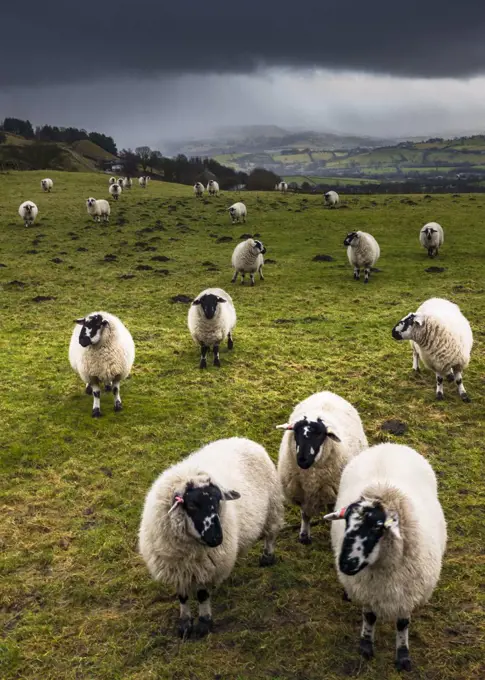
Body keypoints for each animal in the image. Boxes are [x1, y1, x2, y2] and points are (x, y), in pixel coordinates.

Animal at [138, 438, 284, 640]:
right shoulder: (177, 568)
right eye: (192, 505)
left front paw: (204, 623)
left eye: (218, 500)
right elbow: (182, 596)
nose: (216, 538)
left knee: (271, 534)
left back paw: (267, 557)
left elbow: (202, 595)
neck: (189, 552)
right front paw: (184, 623)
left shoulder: (206, 568)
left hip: (273, 506)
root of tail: (244, 439)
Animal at [276, 390, 366, 544]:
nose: (303, 460)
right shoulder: (302, 496)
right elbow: (305, 515)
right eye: (296, 432)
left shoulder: (333, 496)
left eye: (320, 434)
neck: (310, 480)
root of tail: (326, 393)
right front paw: (304, 536)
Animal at [324, 444, 444, 672]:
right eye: (346, 521)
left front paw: (403, 655)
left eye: (378, 528)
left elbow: (402, 624)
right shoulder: (367, 590)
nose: (345, 564)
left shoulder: (407, 594)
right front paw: (366, 645)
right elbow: (369, 616)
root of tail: (389, 444)